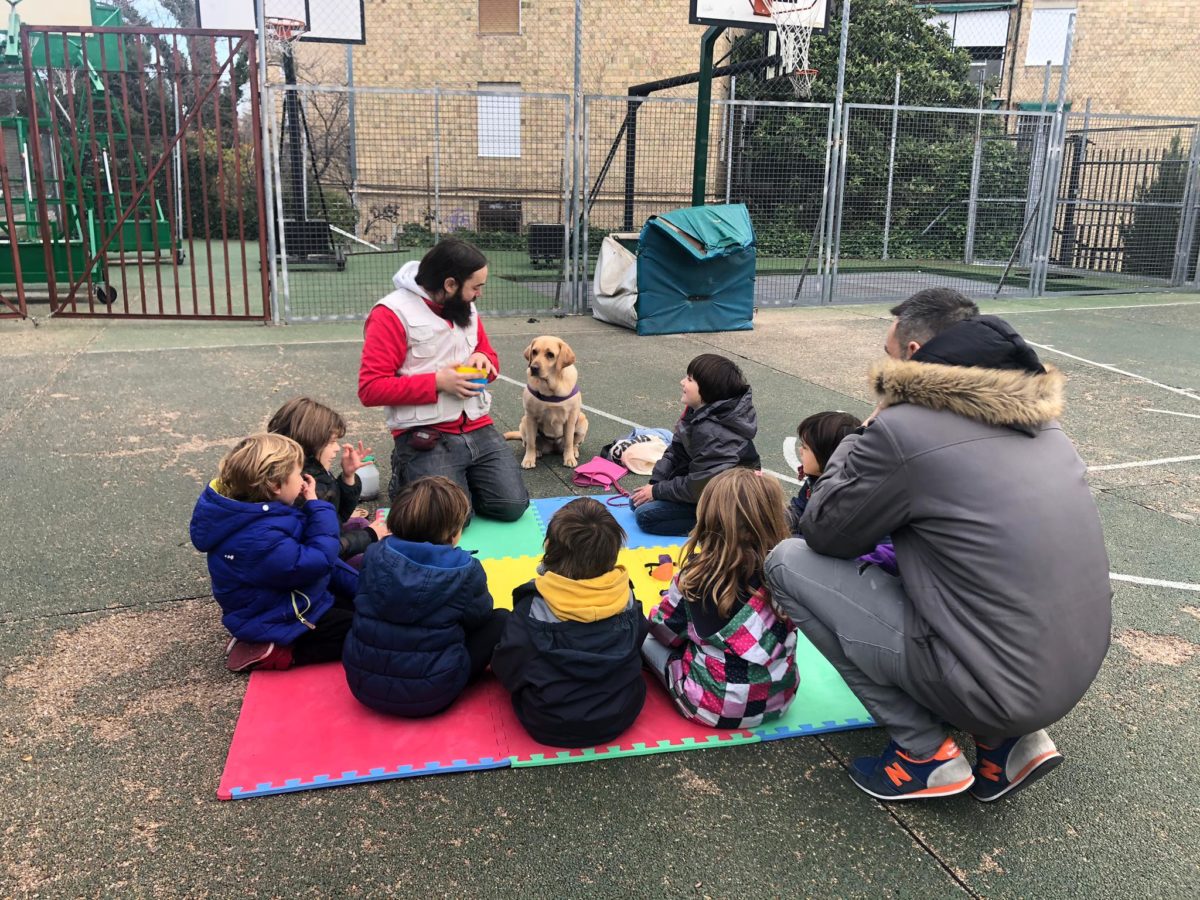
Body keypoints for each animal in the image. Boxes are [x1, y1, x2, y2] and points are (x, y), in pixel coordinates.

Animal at [504, 336, 588, 468]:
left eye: (550, 355)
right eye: (534, 352)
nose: (533, 368)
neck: (550, 388)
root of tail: (553, 447)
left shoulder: (571, 418)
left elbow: (569, 441)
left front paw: (569, 458)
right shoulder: (530, 416)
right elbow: (531, 442)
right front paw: (529, 459)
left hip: (582, 420)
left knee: (574, 443)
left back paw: (574, 452)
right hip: (524, 421)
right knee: (528, 442)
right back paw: (537, 452)